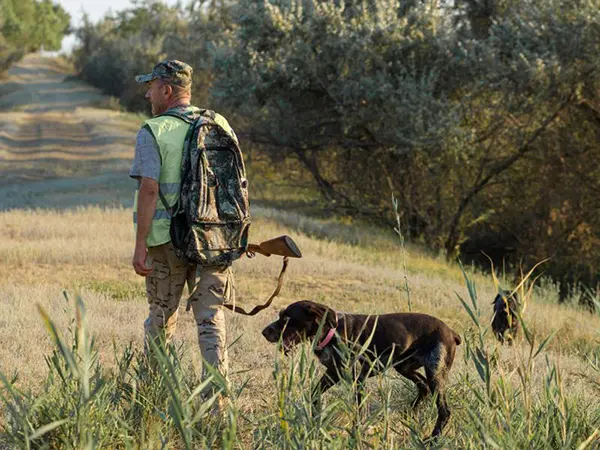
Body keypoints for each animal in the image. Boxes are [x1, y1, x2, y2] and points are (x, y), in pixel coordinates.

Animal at [260, 300, 462, 438]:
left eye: (286, 318)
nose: (264, 332)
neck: (332, 333)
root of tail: (452, 332)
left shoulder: (359, 380)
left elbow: (358, 413)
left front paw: (355, 435)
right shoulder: (332, 374)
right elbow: (314, 394)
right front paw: (314, 418)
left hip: (435, 374)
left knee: (444, 411)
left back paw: (432, 439)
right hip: (405, 367)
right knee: (423, 387)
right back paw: (408, 414)